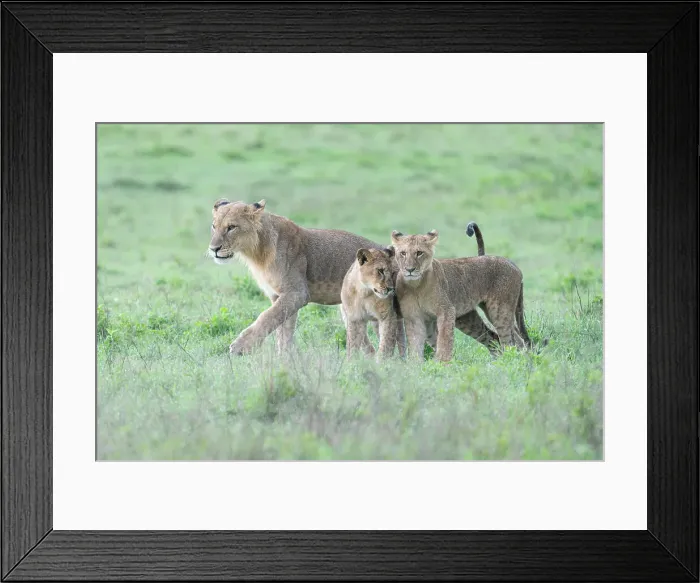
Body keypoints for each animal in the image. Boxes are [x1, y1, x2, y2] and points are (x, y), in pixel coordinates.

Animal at [208, 198, 391, 355]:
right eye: (214, 226)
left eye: (231, 227)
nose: (213, 249)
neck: (257, 253)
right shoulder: (278, 295)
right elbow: (283, 329)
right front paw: (284, 359)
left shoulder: (297, 293)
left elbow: (267, 317)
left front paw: (240, 346)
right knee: (368, 346)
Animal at [391, 228, 532, 362]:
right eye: (403, 253)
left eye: (419, 253)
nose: (410, 269)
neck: (416, 286)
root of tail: (513, 264)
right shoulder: (413, 317)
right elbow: (415, 344)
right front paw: (415, 366)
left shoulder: (446, 311)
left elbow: (444, 340)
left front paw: (442, 364)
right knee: (502, 337)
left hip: (499, 310)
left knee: (511, 341)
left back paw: (511, 361)